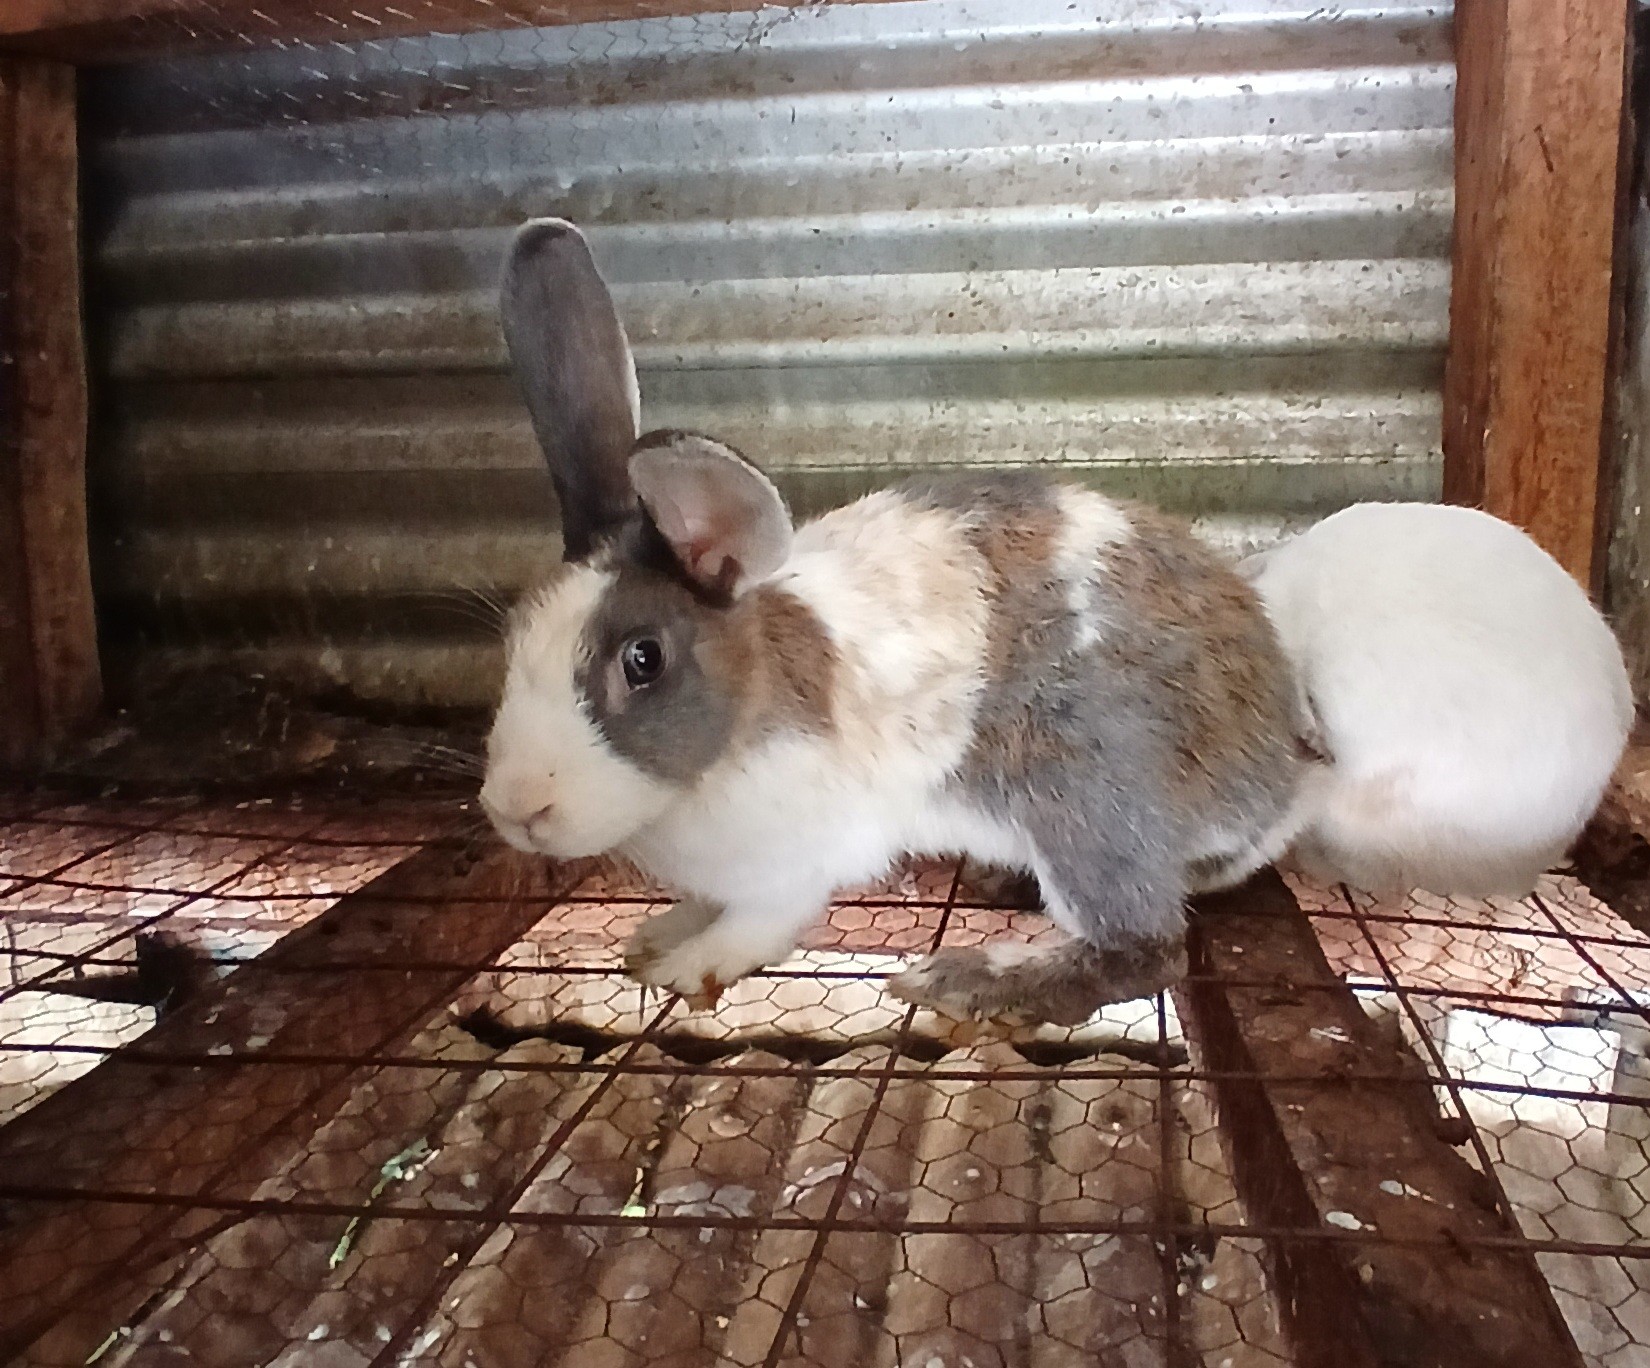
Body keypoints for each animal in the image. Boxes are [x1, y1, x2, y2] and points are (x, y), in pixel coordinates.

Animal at [477, 218, 1317, 1025]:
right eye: (513, 634)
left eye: (643, 659)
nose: (516, 811)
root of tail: (1280, 775)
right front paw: (657, 938)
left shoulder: (798, 864)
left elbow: (756, 923)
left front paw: (691, 965)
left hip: (1083, 797)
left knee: (1147, 949)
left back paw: (966, 981)